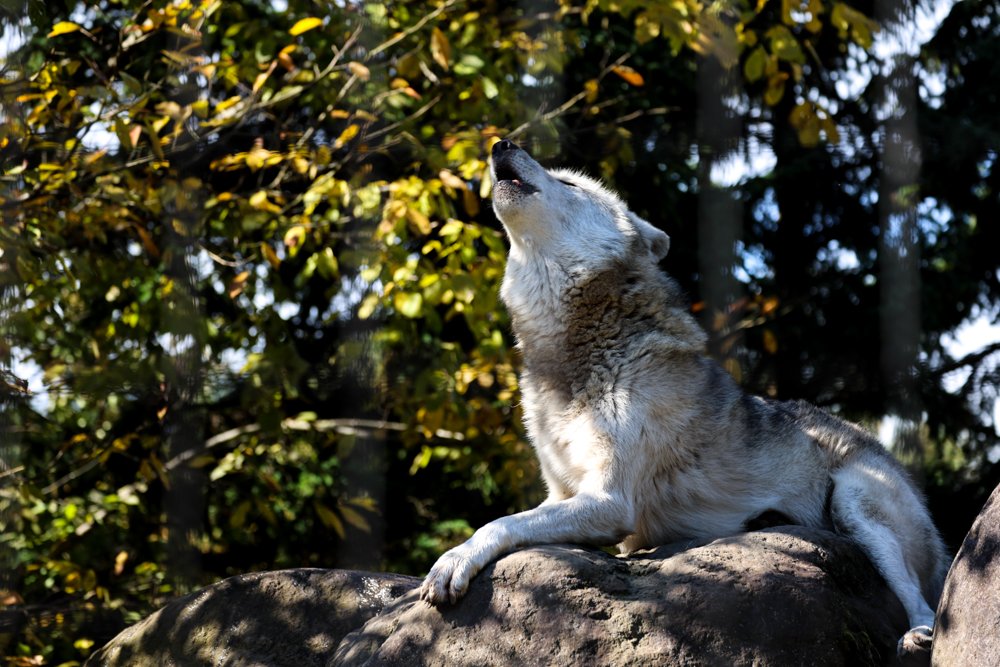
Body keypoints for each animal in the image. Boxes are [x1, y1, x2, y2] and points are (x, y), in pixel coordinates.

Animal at [419, 138, 950, 656]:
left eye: (568, 182)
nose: (500, 143)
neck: (574, 362)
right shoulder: (562, 492)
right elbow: (517, 517)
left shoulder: (609, 500)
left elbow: (501, 522)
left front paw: (454, 559)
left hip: (856, 502)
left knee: (923, 599)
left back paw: (917, 635)